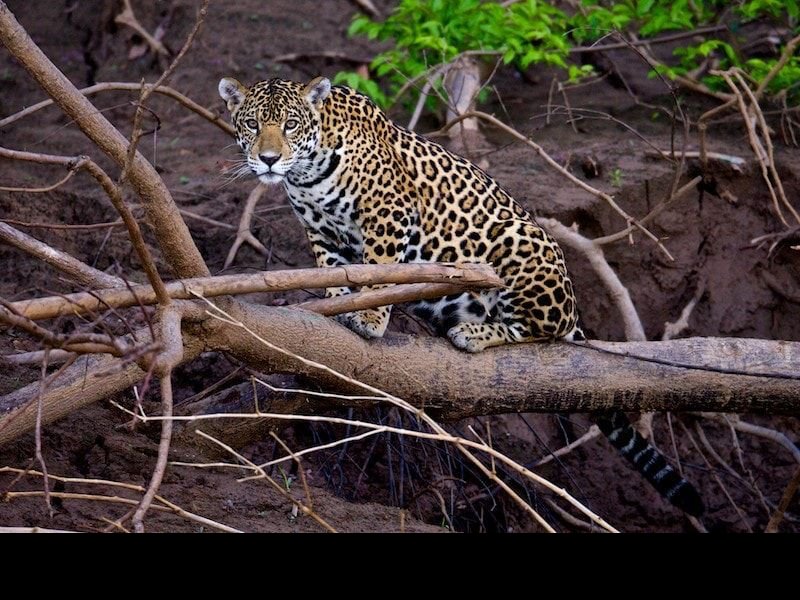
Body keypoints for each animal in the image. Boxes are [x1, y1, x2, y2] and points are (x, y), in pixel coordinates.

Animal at [218, 75, 704, 517]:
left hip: (520, 245)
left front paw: (370, 317)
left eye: (291, 124)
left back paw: (475, 332)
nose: (268, 160)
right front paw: (337, 303)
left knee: (543, 329)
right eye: (253, 123)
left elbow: (377, 268)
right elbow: (332, 270)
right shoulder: (319, 229)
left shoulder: (388, 214)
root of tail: (572, 304)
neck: (307, 173)